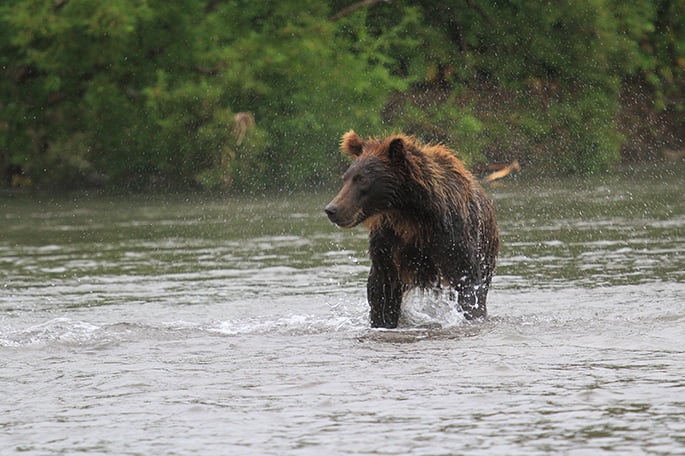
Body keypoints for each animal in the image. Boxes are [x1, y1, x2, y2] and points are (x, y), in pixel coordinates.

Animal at [324, 130, 496, 326]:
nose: (332, 209)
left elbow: (468, 286)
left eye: (362, 179)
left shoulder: (452, 237)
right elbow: (382, 292)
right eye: (346, 178)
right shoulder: (389, 243)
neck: (410, 214)